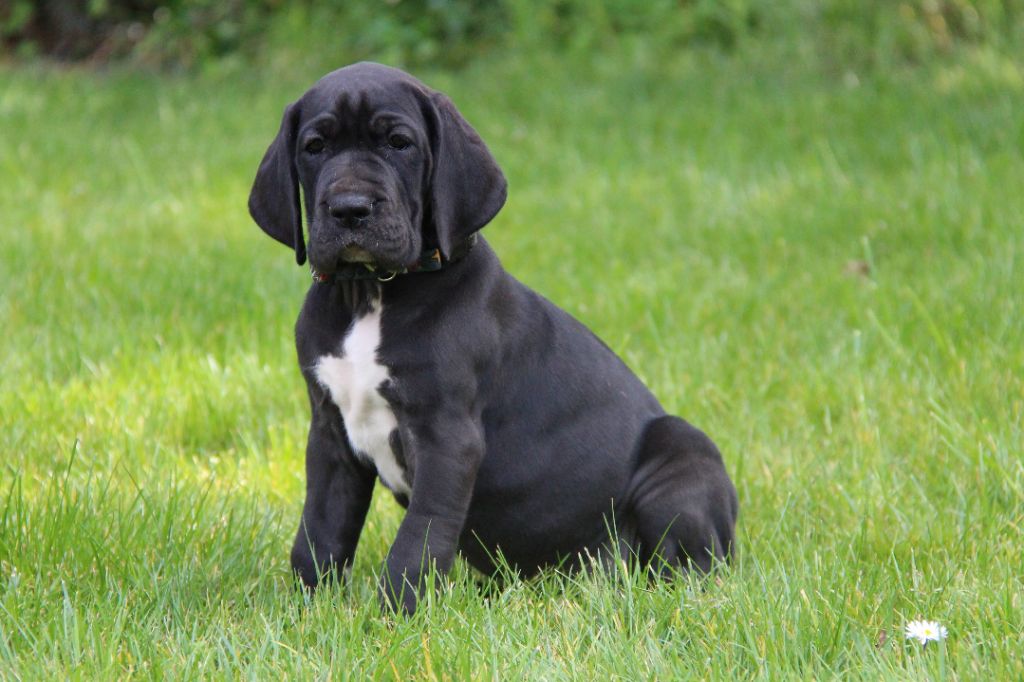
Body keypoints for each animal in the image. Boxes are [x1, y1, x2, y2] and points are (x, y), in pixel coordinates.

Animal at [249, 62, 738, 614]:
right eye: (315, 147)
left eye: (399, 143)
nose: (350, 209)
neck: (371, 293)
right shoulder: (331, 434)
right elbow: (320, 530)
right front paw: (307, 608)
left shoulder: (447, 437)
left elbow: (421, 534)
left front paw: (397, 613)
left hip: (683, 451)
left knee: (688, 567)